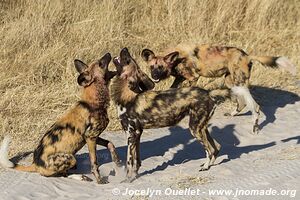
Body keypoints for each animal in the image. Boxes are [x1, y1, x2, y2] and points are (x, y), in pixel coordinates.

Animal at [0, 53, 121, 184]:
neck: (94, 102)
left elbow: (110, 143)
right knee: (61, 174)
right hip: (70, 158)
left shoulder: (91, 136)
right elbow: (94, 163)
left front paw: (117, 160)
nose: (108, 53)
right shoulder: (91, 137)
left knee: (65, 173)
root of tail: (35, 164)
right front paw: (99, 180)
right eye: (100, 63)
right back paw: (81, 177)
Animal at [111, 47, 221, 182]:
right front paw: (135, 175)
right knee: (216, 147)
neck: (126, 96)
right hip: (202, 128)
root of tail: (208, 93)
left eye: (127, 60)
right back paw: (209, 165)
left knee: (209, 150)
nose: (125, 48)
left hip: (195, 129)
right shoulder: (137, 134)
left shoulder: (130, 135)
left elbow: (129, 162)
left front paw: (128, 179)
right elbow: (137, 161)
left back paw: (205, 167)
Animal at [142, 44, 296, 134]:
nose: (154, 76)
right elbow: (172, 89)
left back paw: (255, 126)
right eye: (152, 67)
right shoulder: (179, 78)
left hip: (239, 82)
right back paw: (233, 114)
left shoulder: (193, 77)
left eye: (161, 67)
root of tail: (247, 55)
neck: (177, 59)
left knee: (255, 106)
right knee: (242, 102)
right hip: (231, 82)